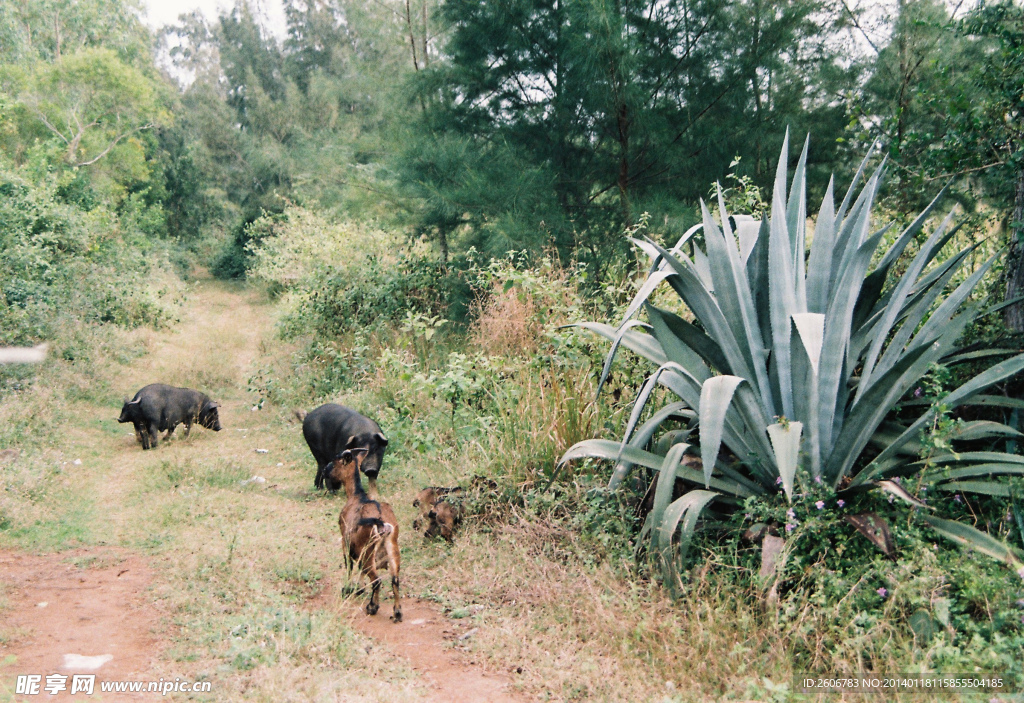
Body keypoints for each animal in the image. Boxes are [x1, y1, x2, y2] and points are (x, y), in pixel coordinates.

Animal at [325, 450, 401, 622]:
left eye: (335, 462)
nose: (325, 471)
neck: (357, 495)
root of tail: (382, 523)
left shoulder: (345, 542)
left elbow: (349, 566)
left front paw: (347, 589)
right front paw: (358, 589)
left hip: (367, 551)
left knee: (376, 580)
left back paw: (372, 607)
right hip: (392, 546)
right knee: (395, 579)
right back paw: (397, 612)